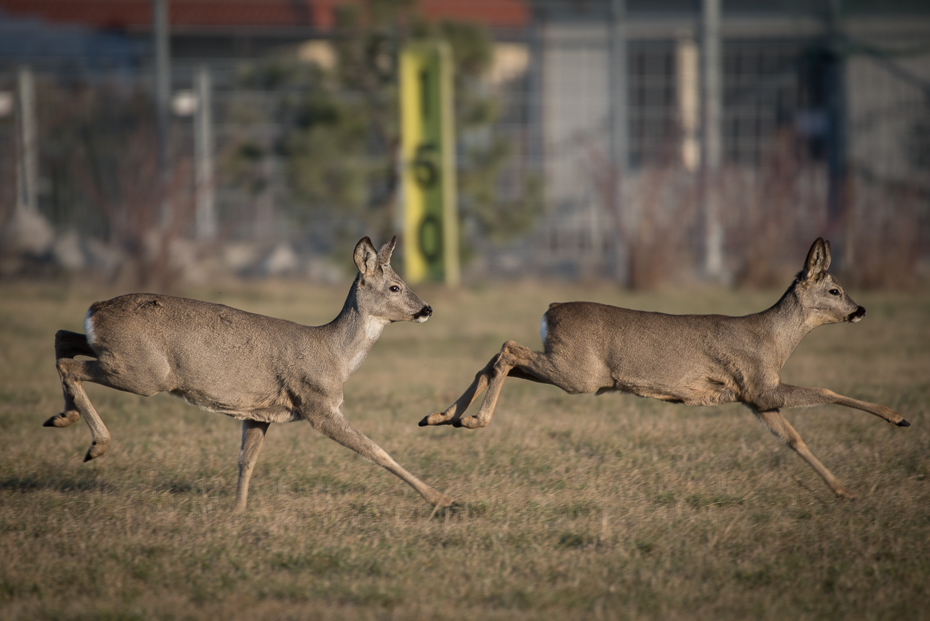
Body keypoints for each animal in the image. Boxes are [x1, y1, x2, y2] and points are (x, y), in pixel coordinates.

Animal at [49, 235, 454, 512]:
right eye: (395, 286)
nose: (428, 309)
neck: (333, 355)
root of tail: (95, 309)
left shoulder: (260, 412)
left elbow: (246, 461)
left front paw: (238, 510)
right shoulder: (317, 405)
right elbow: (376, 450)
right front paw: (440, 497)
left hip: (118, 355)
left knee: (63, 337)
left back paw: (62, 416)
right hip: (146, 372)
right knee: (70, 363)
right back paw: (96, 444)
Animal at [422, 239, 908, 498]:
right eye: (835, 289)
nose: (861, 309)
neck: (773, 341)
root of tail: (551, 309)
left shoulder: (755, 400)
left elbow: (794, 439)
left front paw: (843, 490)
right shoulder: (759, 385)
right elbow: (825, 393)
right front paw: (897, 416)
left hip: (568, 367)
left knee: (496, 358)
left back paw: (444, 416)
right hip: (580, 373)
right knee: (507, 349)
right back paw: (473, 420)